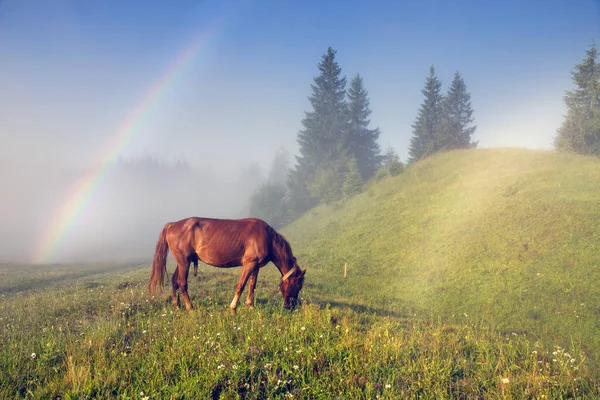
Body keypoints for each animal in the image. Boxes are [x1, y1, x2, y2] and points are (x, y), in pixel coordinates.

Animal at [148, 216, 308, 312]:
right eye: (297, 285)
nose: (291, 306)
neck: (267, 238)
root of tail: (172, 225)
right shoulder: (249, 264)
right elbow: (241, 285)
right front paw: (233, 307)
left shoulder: (255, 266)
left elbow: (252, 285)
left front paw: (250, 305)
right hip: (184, 263)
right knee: (182, 283)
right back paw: (190, 307)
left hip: (182, 262)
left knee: (174, 280)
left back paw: (177, 305)